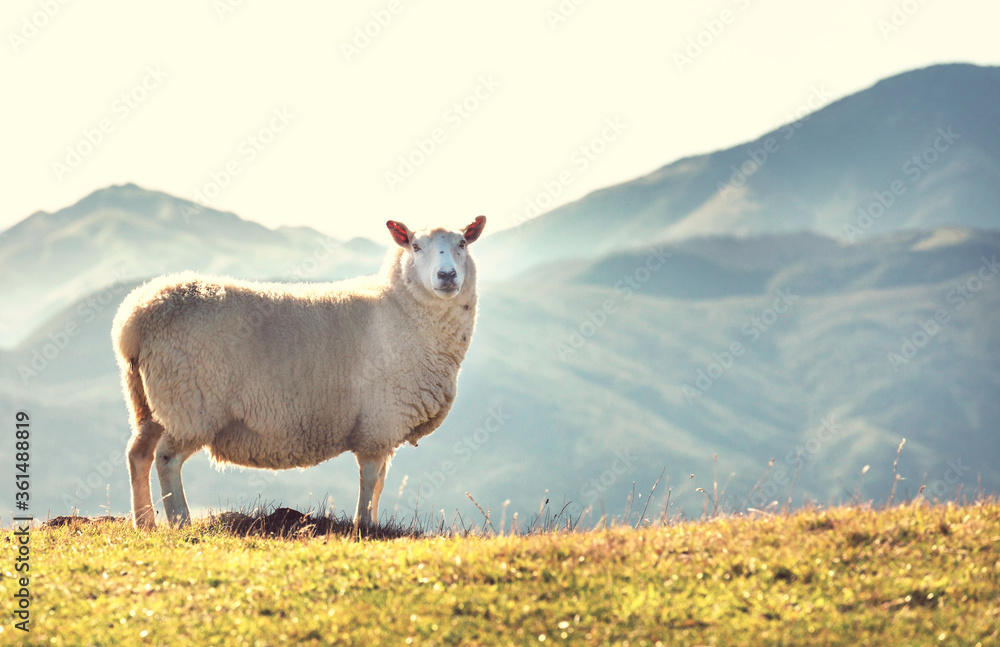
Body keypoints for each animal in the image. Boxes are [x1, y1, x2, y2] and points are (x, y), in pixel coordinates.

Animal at [112, 216, 486, 529]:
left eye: (462, 244)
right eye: (416, 246)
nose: (447, 276)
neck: (400, 308)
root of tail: (135, 318)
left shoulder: (382, 426)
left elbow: (379, 481)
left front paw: (373, 523)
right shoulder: (379, 422)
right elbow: (370, 478)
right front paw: (364, 526)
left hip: (147, 401)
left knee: (138, 454)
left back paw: (144, 522)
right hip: (189, 402)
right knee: (167, 458)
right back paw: (180, 520)